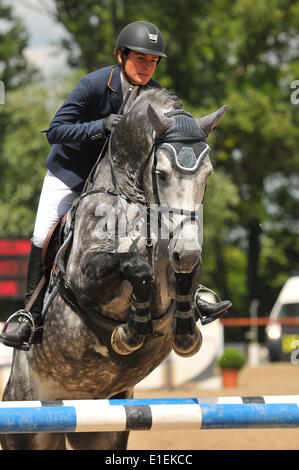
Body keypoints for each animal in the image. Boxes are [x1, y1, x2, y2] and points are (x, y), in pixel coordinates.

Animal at [1, 86, 227, 450]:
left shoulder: (178, 256)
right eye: (162, 174)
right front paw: (131, 331)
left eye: (207, 175)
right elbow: (135, 268)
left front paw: (186, 333)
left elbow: (185, 277)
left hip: (103, 431)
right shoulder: (86, 279)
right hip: (26, 424)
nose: (186, 251)